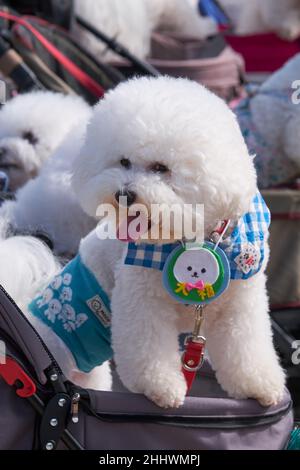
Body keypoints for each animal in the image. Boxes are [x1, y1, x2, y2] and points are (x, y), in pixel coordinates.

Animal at [3, 77, 284, 408]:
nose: (123, 194)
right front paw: (162, 387)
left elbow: (247, 346)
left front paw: (257, 384)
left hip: (91, 375)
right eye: (123, 161)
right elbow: (149, 349)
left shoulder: (241, 302)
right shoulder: (141, 297)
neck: (195, 239)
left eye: (161, 168)